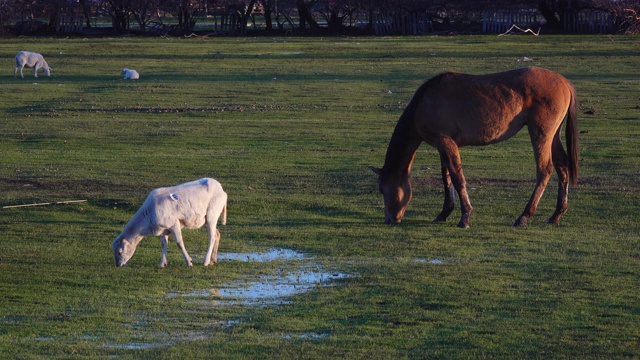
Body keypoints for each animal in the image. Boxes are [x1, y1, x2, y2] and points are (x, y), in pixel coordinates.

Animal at [368, 66, 576, 226]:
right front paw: (444, 213)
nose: (389, 219)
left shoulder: (445, 142)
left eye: (382, 189)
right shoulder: (444, 145)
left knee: (544, 170)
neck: (423, 103)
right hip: (553, 136)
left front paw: (465, 217)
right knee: (562, 166)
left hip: (541, 134)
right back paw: (556, 215)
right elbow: (447, 178)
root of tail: (565, 83)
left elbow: (457, 177)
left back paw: (524, 216)